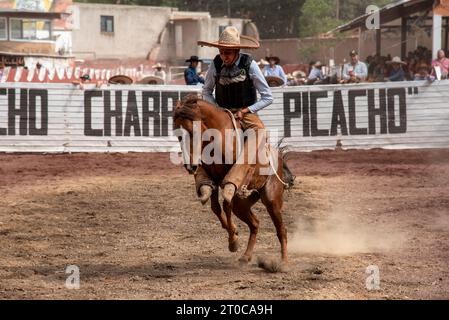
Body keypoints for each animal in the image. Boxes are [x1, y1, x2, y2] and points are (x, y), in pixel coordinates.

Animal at [172, 95, 294, 264]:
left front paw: (233, 241)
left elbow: (225, 203)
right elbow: (215, 207)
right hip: (242, 204)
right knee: (255, 224)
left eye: (192, 131)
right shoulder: (214, 178)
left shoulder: (229, 182)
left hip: (272, 199)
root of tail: (279, 158)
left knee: (282, 229)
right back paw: (246, 256)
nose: (190, 166)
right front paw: (234, 236)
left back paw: (284, 262)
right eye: (177, 134)